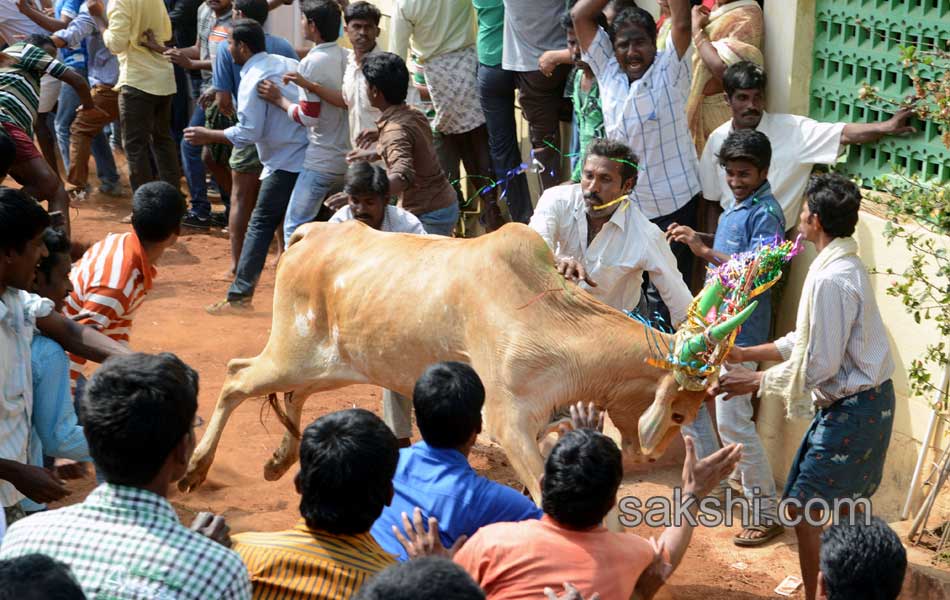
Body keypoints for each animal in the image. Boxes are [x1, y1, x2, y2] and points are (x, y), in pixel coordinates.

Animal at [178, 223, 740, 500]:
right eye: (678, 412)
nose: (651, 453)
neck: (551, 318)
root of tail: (309, 234)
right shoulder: (507, 421)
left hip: (334, 366)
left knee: (286, 394)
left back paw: (278, 459)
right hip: (292, 354)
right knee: (235, 377)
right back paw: (196, 468)